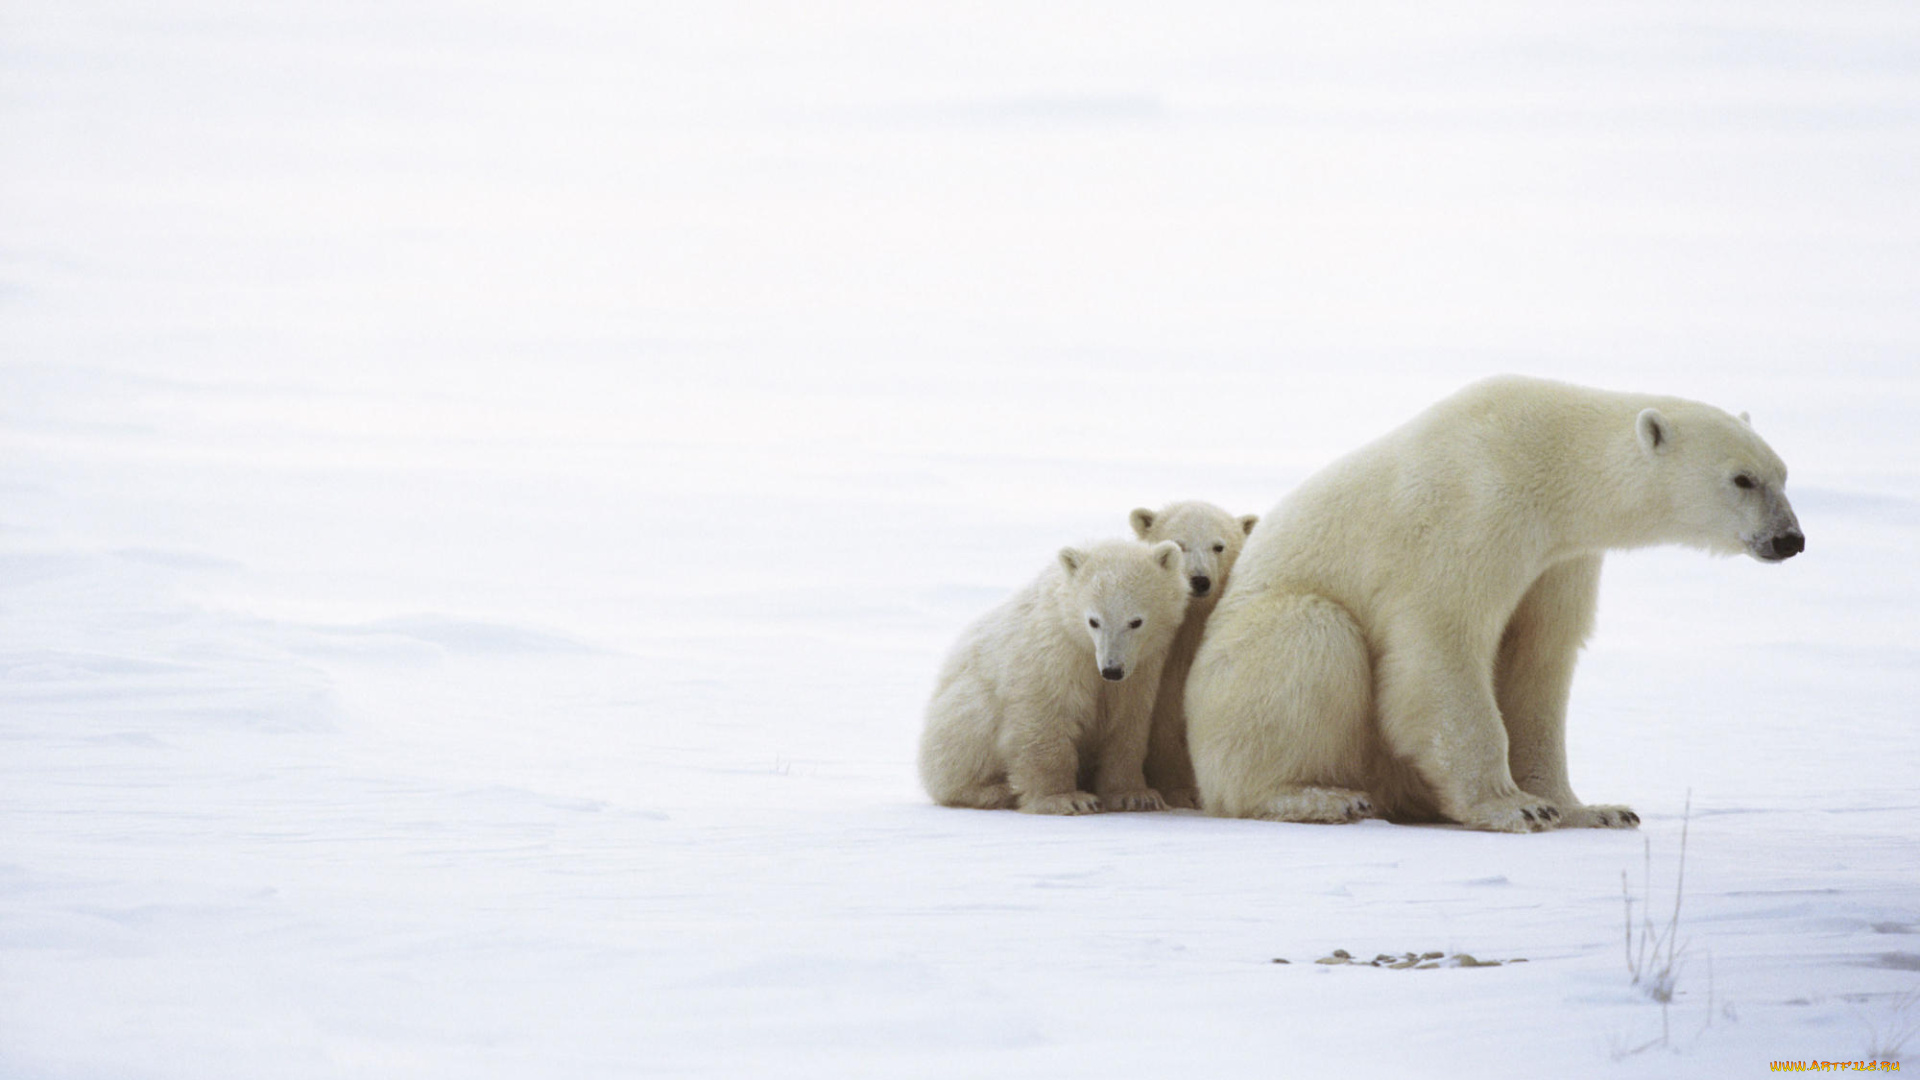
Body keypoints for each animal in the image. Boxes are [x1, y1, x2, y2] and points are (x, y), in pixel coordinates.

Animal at [921, 534, 1190, 810]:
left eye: (1136, 621)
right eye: (1094, 621)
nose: (1112, 669)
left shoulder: (1142, 668)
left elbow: (1127, 724)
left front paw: (1136, 795)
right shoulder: (1054, 652)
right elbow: (1045, 715)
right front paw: (1067, 799)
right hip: (962, 711)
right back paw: (996, 790)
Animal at [1190, 376, 1804, 834]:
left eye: (1783, 474)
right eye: (1742, 479)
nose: (1790, 539)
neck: (1548, 457)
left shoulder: (1559, 559)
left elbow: (1539, 659)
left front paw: (1593, 809)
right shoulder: (1471, 514)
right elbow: (1444, 646)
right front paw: (1515, 807)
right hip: (1244, 658)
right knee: (1311, 637)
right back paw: (1319, 796)